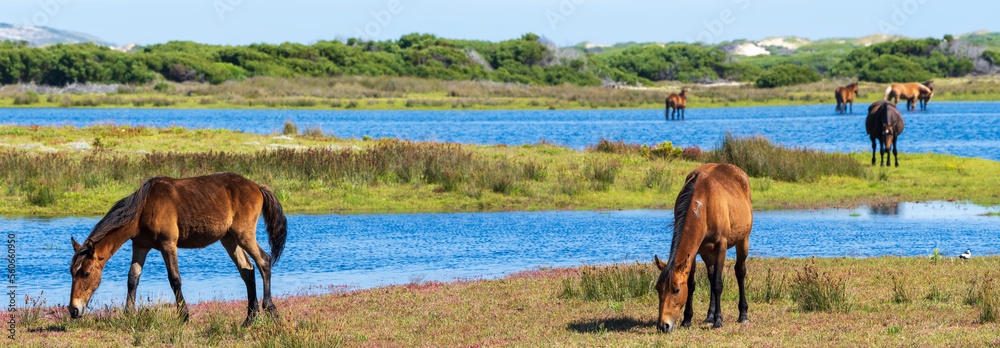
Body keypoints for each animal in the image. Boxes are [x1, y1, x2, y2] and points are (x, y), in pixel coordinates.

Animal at [68, 173, 288, 324]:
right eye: (71, 272)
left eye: (86, 273)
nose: (73, 310)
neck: (144, 208)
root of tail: (256, 186)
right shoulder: (140, 246)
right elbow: (132, 278)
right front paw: (129, 313)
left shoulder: (168, 244)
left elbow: (174, 279)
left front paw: (184, 315)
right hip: (229, 239)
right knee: (247, 270)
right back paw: (250, 318)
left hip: (244, 235)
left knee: (264, 261)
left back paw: (270, 308)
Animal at [652, 164, 752, 334]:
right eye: (658, 289)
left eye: (676, 290)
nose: (663, 326)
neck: (704, 204)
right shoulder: (694, 252)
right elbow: (692, 284)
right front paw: (687, 320)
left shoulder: (721, 247)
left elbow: (718, 283)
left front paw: (718, 321)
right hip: (707, 252)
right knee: (711, 276)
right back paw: (709, 317)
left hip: (743, 240)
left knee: (739, 272)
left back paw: (743, 315)